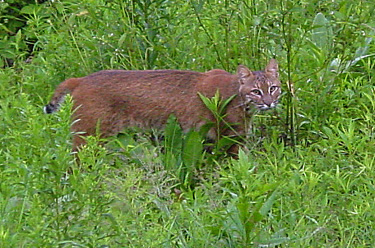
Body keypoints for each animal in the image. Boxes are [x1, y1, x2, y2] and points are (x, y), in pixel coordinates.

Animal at [44, 59, 282, 153]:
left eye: (273, 88)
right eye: (256, 92)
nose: (269, 103)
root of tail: (81, 79)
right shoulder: (229, 138)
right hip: (88, 136)